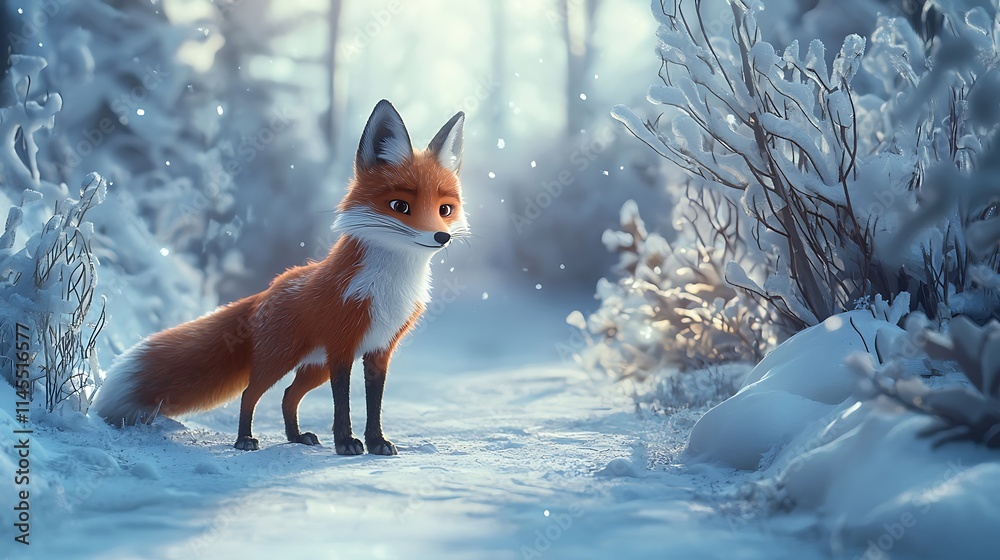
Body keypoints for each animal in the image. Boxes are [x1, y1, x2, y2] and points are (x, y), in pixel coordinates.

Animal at [93, 100, 468, 454]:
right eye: (400, 207)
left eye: (444, 209)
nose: (441, 237)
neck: (391, 285)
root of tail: (269, 288)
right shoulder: (342, 349)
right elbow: (343, 403)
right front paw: (346, 443)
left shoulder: (379, 350)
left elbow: (373, 404)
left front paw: (376, 443)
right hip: (280, 360)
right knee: (250, 393)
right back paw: (245, 440)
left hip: (313, 367)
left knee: (289, 395)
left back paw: (296, 437)